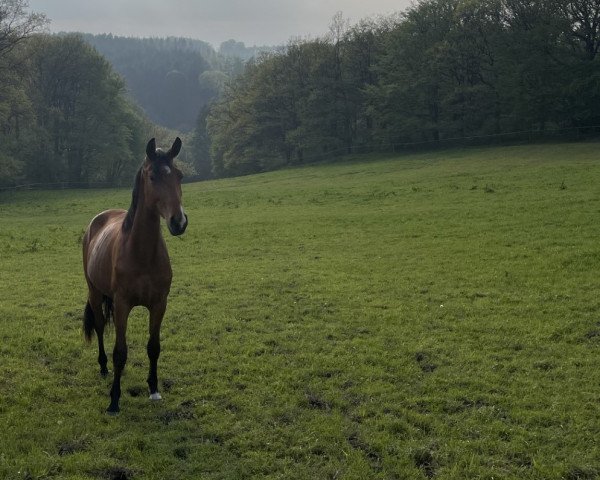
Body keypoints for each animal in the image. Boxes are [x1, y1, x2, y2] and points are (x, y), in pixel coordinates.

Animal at [81, 137, 186, 414]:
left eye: (179, 175)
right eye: (152, 176)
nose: (179, 222)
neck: (141, 253)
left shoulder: (159, 304)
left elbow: (154, 347)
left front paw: (154, 389)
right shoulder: (122, 305)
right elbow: (120, 352)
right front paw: (114, 400)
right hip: (95, 291)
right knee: (99, 326)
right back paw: (103, 367)